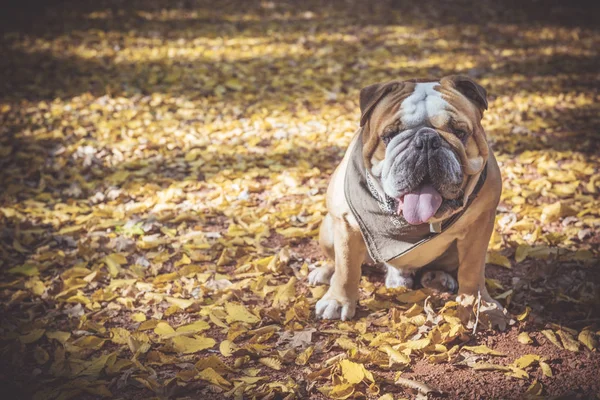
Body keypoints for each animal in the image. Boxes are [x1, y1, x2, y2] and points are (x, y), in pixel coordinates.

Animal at [312, 76, 508, 330]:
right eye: (389, 135)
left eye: (459, 132)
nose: (426, 140)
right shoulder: (345, 224)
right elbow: (346, 267)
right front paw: (338, 300)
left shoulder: (480, 227)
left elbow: (472, 271)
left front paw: (480, 309)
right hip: (328, 229)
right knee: (336, 259)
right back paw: (326, 271)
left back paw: (437, 278)